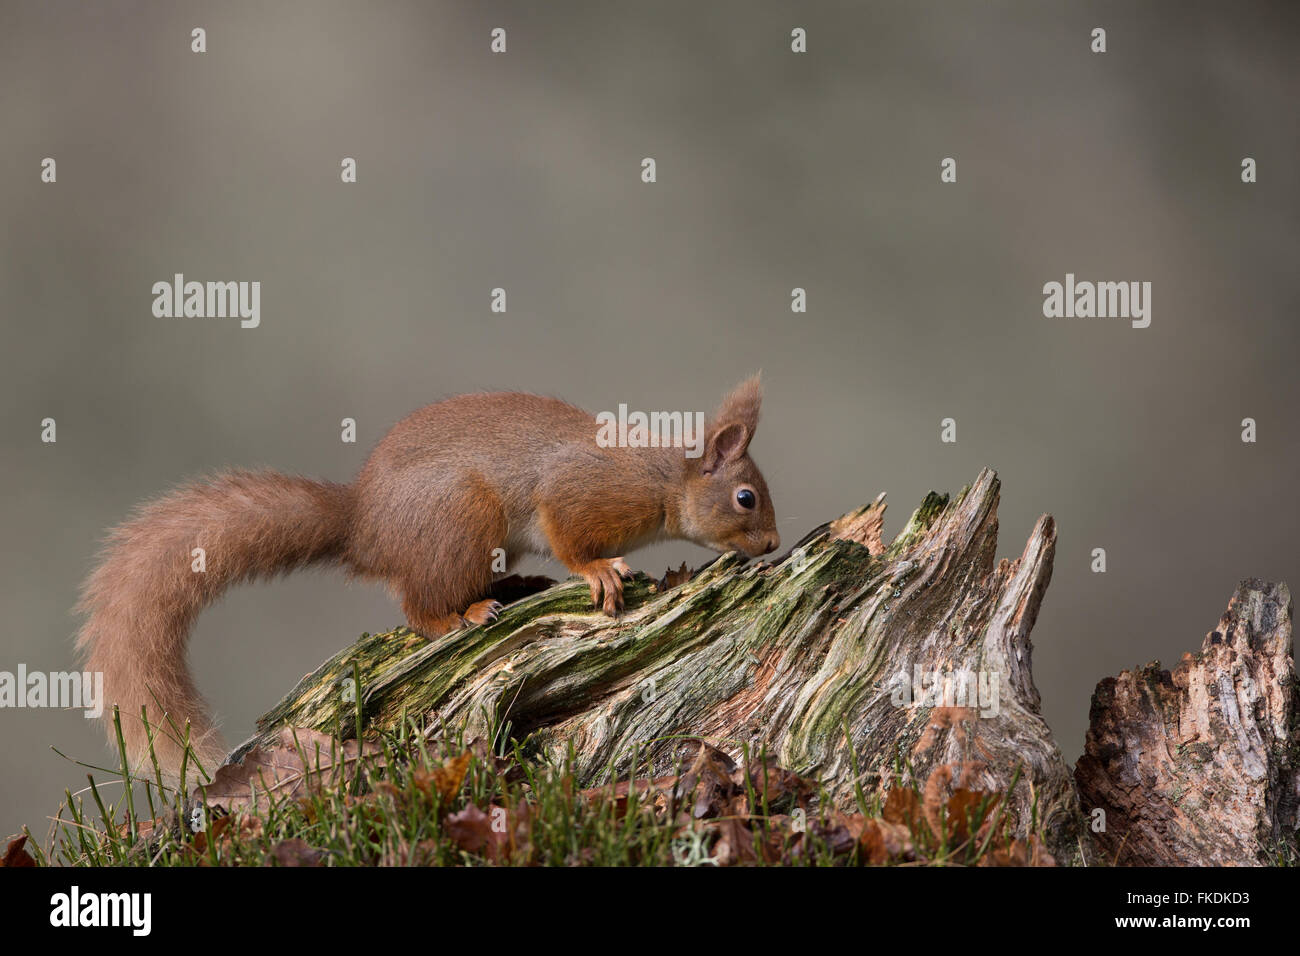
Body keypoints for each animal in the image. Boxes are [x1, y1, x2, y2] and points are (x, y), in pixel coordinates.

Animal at [78, 374, 769, 780]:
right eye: (746, 499)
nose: (770, 544)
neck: (665, 480)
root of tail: (363, 528)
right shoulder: (580, 495)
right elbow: (570, 538)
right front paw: (599, 571)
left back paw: (506, 591)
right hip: (462, 517)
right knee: (417, 607)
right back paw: (461, 616)